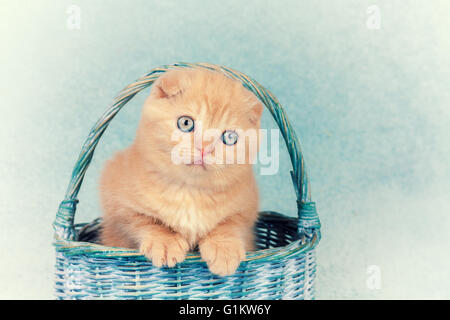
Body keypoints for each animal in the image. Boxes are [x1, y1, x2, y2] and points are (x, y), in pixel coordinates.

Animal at [100, 68, 262, 276]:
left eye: (230, 137)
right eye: (186, 123)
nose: (204, 148)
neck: (189, 190)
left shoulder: (246, 207)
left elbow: (230, 224)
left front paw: (224, 248)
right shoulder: (116, 200)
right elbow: (144, 221)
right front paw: (164, 242)